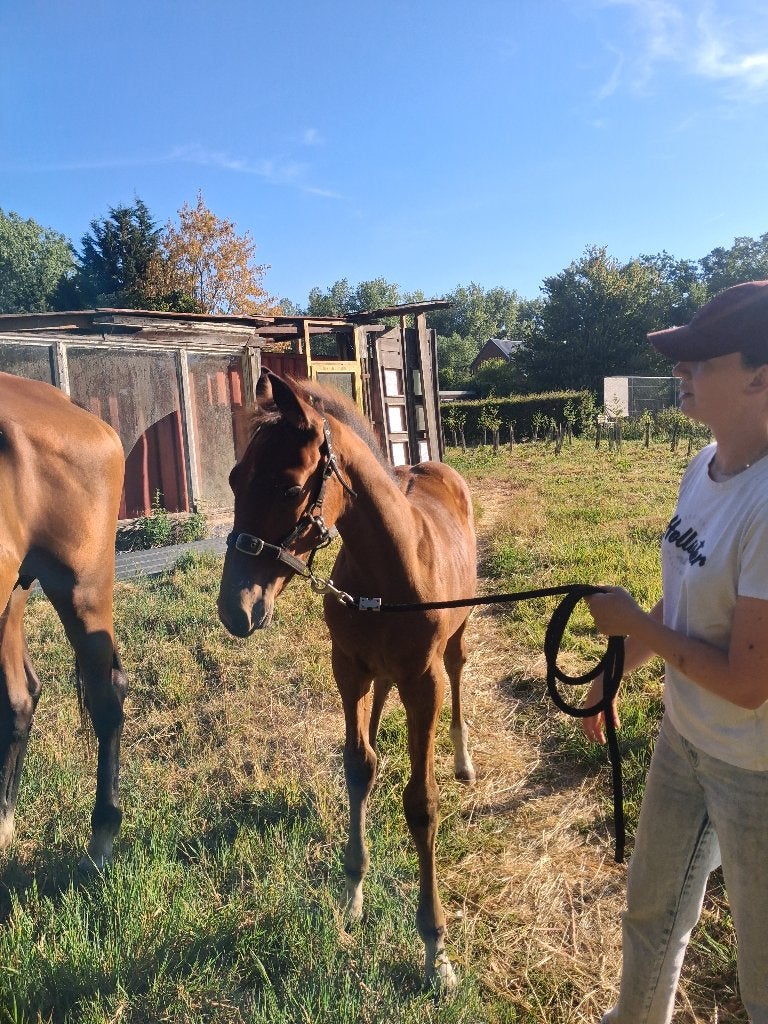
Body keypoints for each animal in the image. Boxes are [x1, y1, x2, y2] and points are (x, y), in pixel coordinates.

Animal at [217, 370, 477, 991]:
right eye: (235, 479)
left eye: (289, 489)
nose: (235, 610)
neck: (391, 566)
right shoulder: (348, 666)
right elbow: (358, 767)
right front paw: (352, 893)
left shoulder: (423, 681)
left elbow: (421, 804)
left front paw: (436, 951)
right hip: (374, 672)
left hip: (456, 637)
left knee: (460, 671)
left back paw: (463, 759)